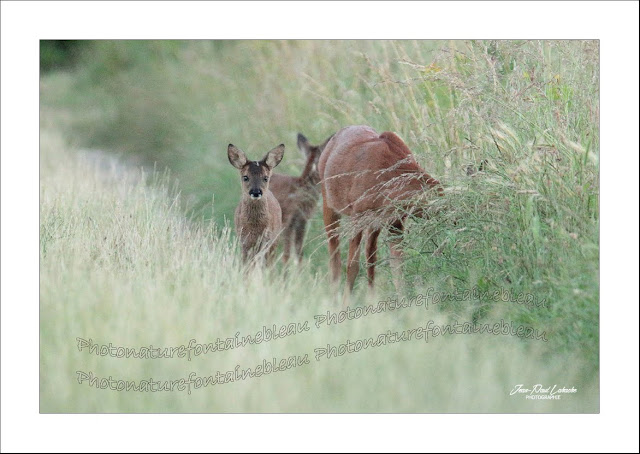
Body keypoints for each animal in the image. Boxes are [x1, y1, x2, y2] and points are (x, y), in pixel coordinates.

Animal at [318, 125, 442, 294]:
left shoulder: (394, 221)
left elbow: (397, 268)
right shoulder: (358, 216)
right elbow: (352, 266)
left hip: (374, 224)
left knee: (370, 258)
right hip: (330, 208)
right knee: (335, 260)